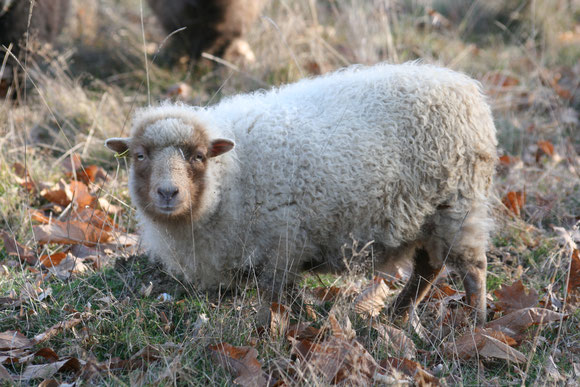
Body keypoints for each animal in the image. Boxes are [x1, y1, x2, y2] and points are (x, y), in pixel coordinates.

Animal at [105, 63, 498, 324]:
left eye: (198, 156)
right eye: (139, 155)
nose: (167, 192)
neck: (229, 177)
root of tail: (463, 85)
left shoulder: (279, 244)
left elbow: (278, 297)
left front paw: (281, 329)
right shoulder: (271, 252)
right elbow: (289, 294)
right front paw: (307, 319)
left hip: (456, 207)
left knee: (471, 268)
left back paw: (475, 322)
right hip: (431, 217)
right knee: (428, 267)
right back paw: (398, 315)